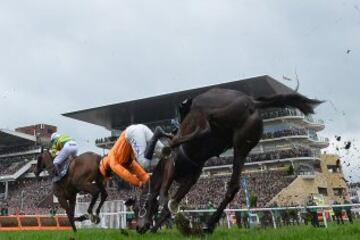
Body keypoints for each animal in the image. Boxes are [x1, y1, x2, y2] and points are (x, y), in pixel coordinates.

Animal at [130, 87, 324, 233]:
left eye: (136, 208)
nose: (139, 228)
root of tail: (252, 102)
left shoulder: (172, 165)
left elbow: (164, 192)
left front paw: (163, 202)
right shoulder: (191, 179)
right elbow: (173, 201)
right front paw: (156, 225)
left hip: (204, 108)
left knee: (202, 128)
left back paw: (171, 142)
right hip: (242, 144)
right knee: (233, 186)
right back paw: (209, 225)